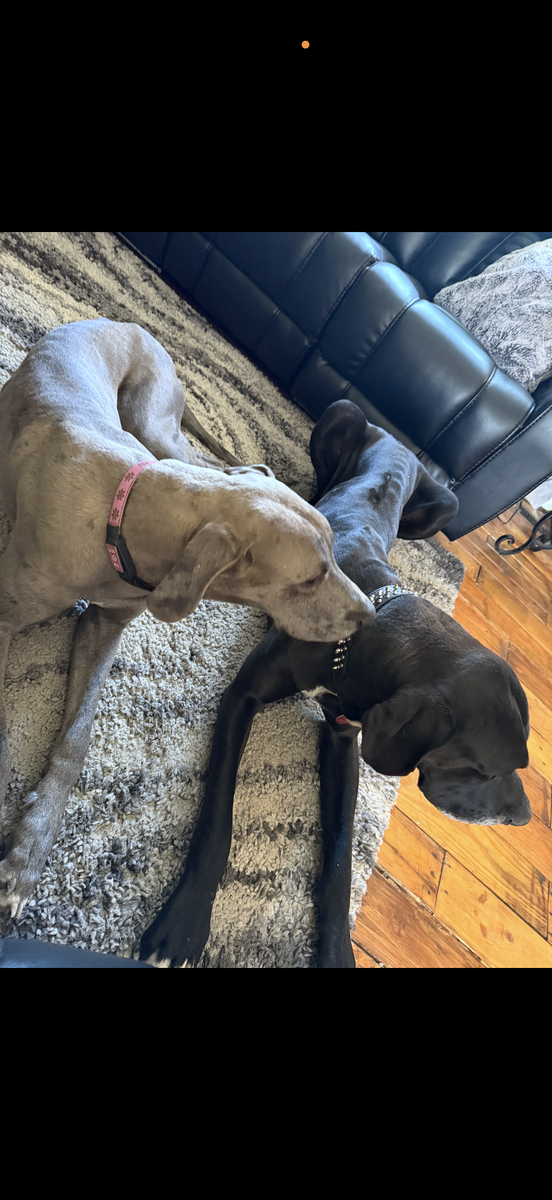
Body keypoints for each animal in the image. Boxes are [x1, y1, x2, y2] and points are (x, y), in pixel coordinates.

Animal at [0, 328, 375, 921]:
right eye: (311, 578)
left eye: (335, 554)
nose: (371, 616)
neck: (120, 510)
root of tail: (137, 329)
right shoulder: (5, 616)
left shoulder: (105, 626)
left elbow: (78, 736)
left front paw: (30, 846)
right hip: (153, 427)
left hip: (157, 431)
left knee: (236, 469)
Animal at [140, 399, 532, 969]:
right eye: (486, 769)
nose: (525, 817)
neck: (369, 631)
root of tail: (399, 443)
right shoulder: (244, 696)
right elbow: (217, 819)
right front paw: (184, 923)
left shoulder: (348, 734)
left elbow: (342, 858)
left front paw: (335, 949)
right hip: (342, 412)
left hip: (446, 504)